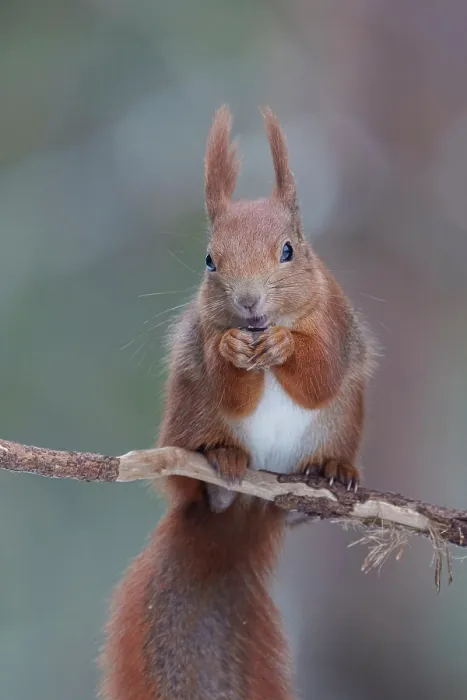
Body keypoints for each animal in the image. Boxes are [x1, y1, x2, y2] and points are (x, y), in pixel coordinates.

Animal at [100, 106, 374, 700]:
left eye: (289, 250)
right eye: (209, 260)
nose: (248, 304)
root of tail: (251, 503)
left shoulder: (336, 323)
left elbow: (320, 374)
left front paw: (288, 347)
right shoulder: (204, 343)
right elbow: (228, 382)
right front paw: (231, 350)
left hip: (339, 427)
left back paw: (329, 473)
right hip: (187, 423)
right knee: (199, 480)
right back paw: (223, 465)